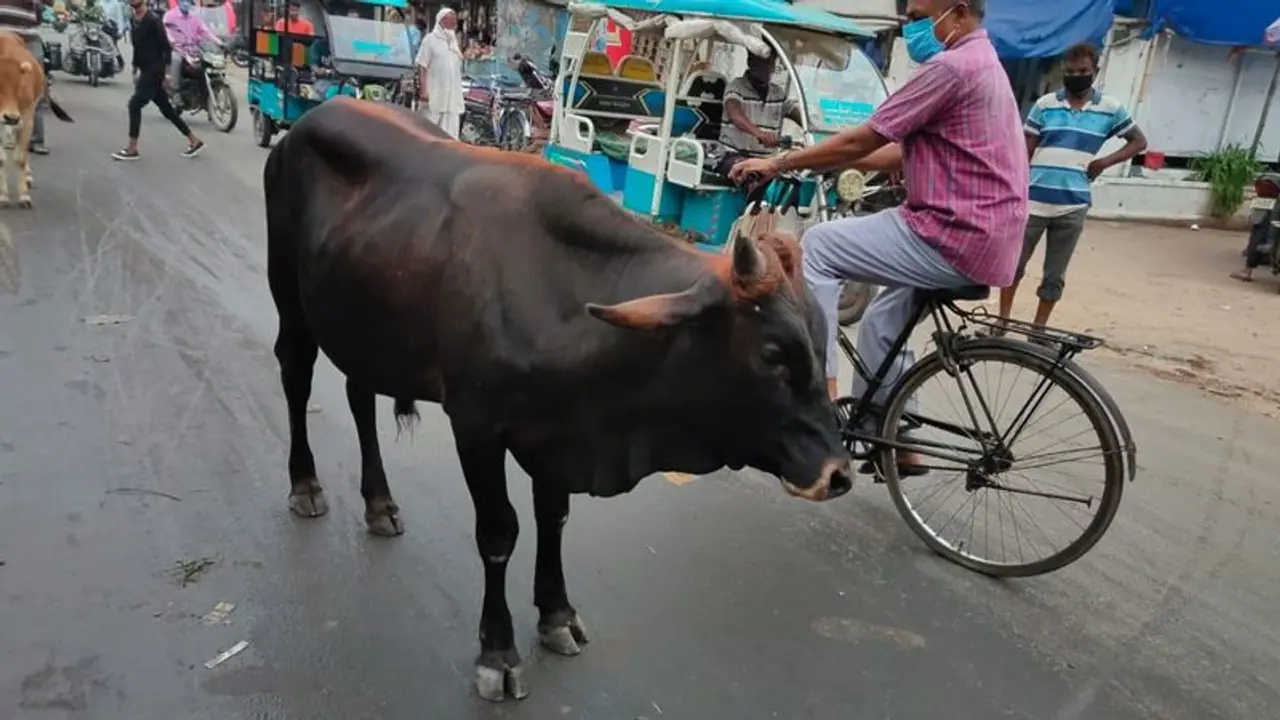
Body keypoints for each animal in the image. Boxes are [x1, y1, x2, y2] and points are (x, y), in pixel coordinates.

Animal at [0, 31, 72, 209]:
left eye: (18, 87)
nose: (11, 117)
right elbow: (1, 160)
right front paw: (3, 196)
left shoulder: (26, 119)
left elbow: (20, 158)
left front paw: (24, 196)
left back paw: (27, 176)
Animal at [264, 97, 852, 702]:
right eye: (772, 354)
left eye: (822, 338)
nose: (837, 474)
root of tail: (311, 118)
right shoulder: (475, 424)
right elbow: (499, 531)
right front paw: (497, 651)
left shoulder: (557, 430)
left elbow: (554, 518)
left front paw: (556, 615)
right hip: (289, 294)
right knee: (296, 376)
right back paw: (305, 485)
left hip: (363, 326)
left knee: (359, 395)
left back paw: (379, 503)